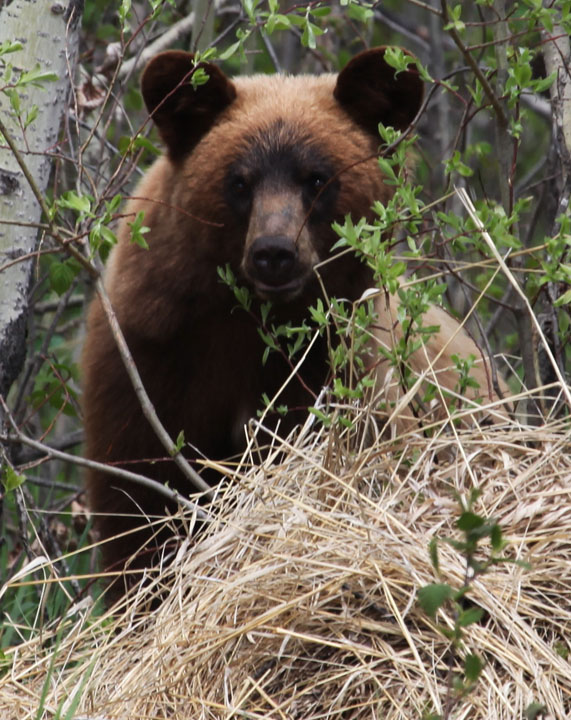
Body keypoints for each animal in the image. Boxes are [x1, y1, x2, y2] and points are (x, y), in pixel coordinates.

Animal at [82, 47, 509, 599]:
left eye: (318, 178)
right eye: (239, 181)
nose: (274, 254)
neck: (251, 324)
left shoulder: (343, 368)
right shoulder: (149, 356)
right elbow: (139, 510)